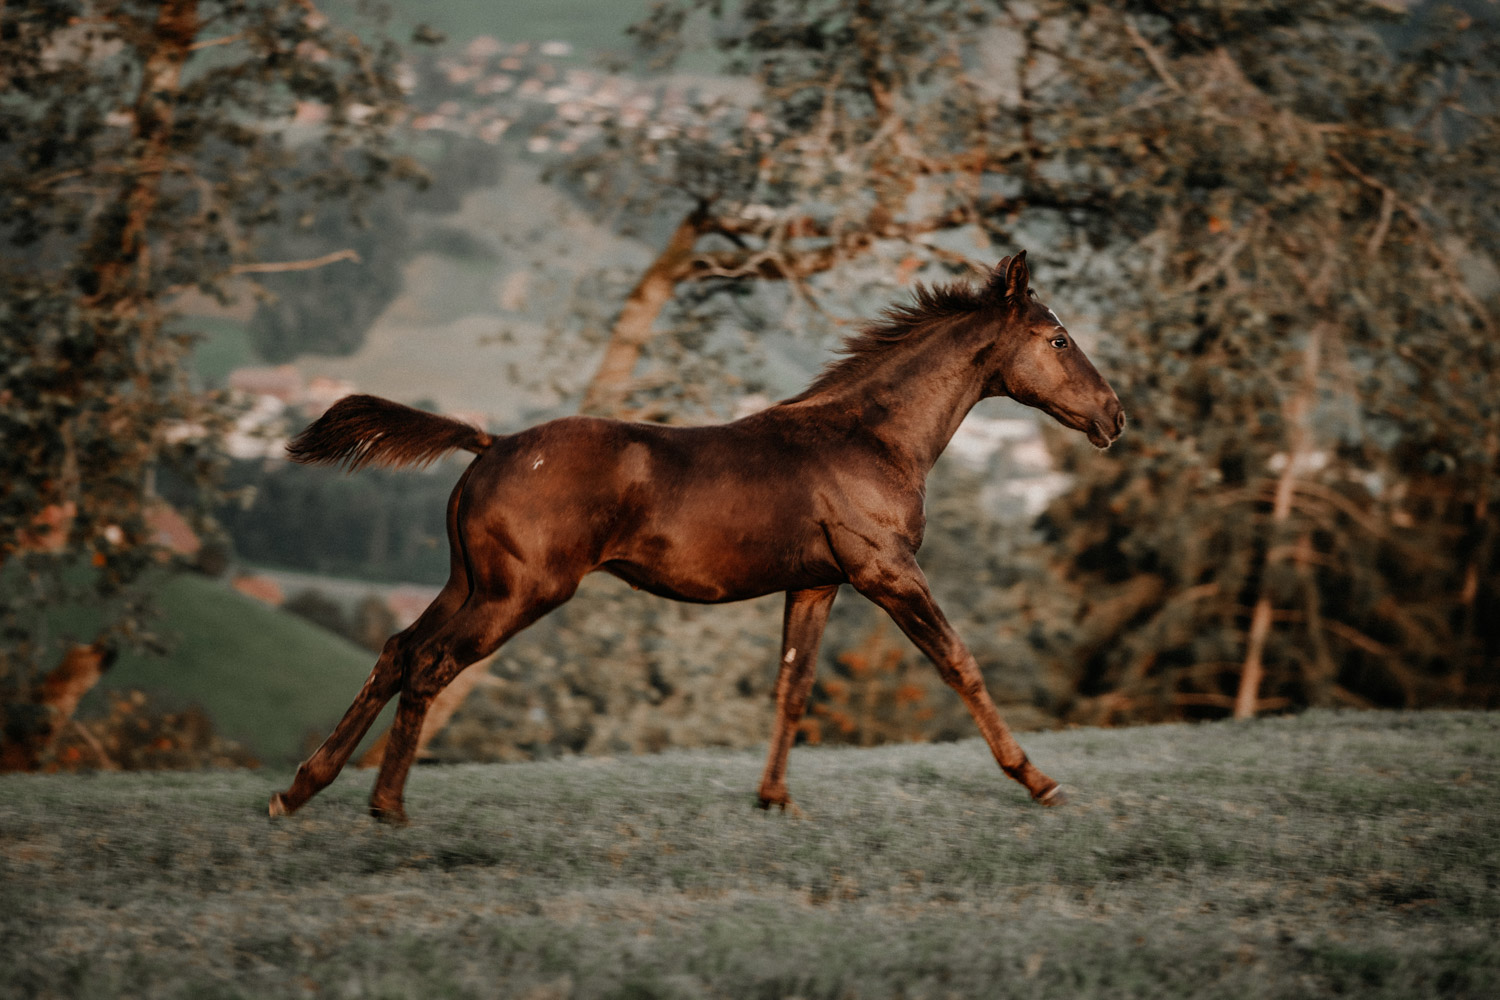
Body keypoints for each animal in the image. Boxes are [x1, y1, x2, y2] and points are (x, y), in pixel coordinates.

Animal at [268, 251, 1125, 824]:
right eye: (1057, 340)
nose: (1114, 415)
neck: (870, 438)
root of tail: (492, 444)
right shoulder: (886, 571)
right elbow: (959, 663)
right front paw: (1039, 780)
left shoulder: (816, 582)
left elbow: (792, 687)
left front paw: (774, 799)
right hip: (519, 592)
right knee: (430, 664)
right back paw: (385, 806)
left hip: (468, 582)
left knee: (397, 651)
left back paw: (297, 790)